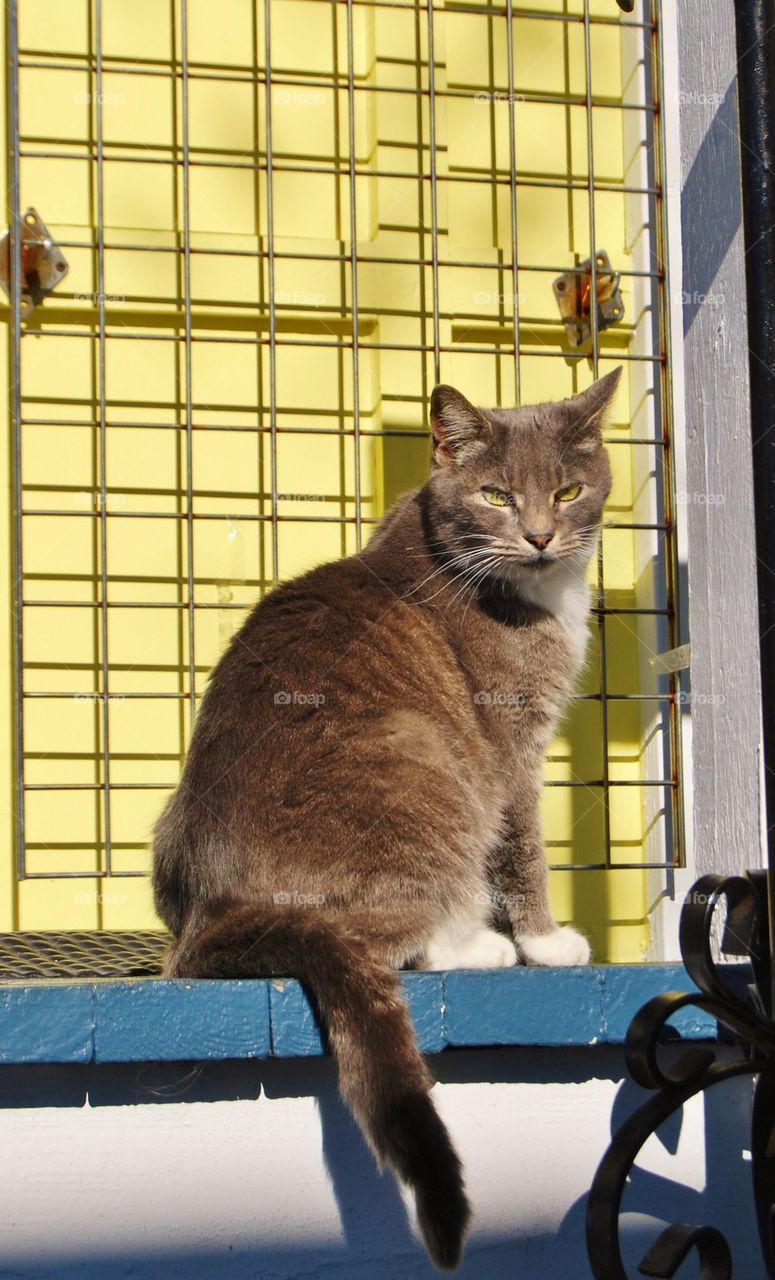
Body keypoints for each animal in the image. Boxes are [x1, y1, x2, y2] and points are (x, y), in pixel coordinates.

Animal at [151, 368, 620, 1269]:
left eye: (568, 490)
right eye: (497, 494)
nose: (541, 536)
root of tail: (212, 918)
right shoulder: (507, 745)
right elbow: (522, 850)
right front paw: (546, 943)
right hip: (425, 764)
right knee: (396, 931)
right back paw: (477, 945)